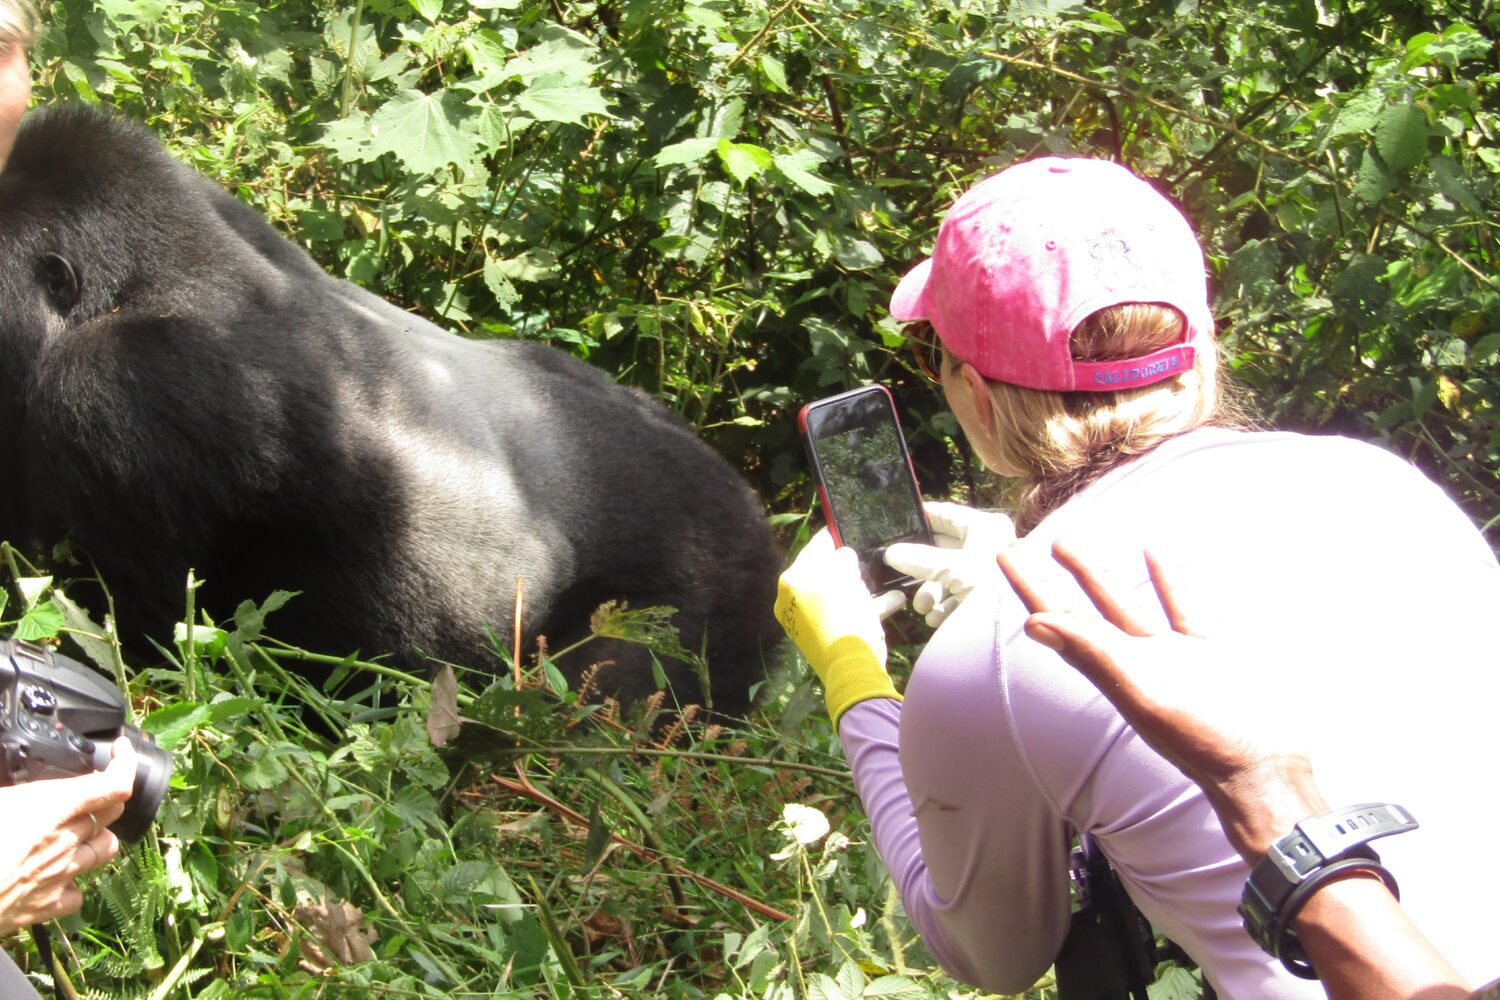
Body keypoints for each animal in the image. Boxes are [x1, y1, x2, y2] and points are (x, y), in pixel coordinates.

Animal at [0, 105, 780, 716]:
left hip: (707, 588)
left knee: (621, 676)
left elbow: (145, 634)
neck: (140, 279)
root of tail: (756, 513)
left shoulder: (116, 388)